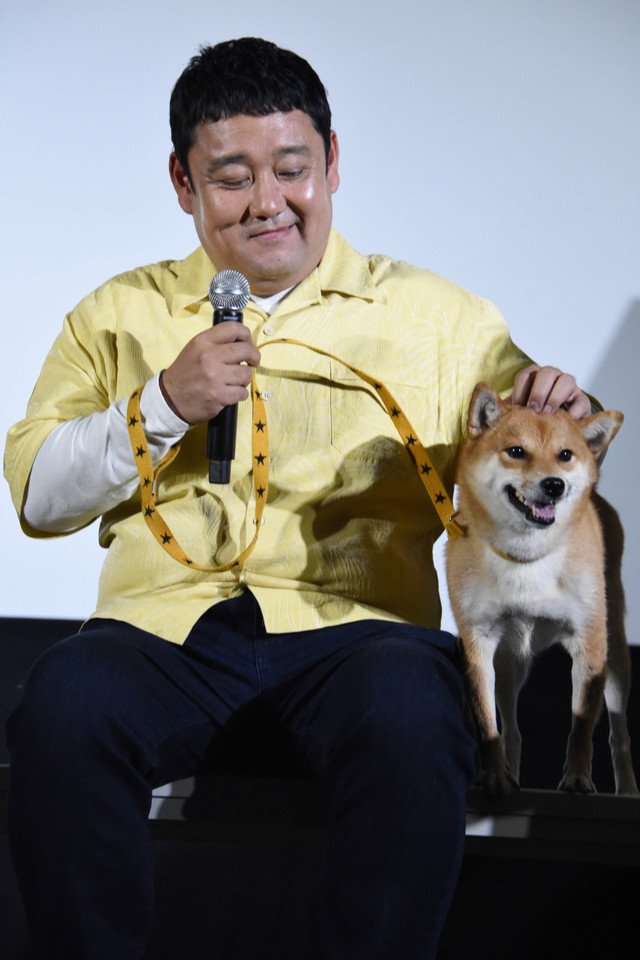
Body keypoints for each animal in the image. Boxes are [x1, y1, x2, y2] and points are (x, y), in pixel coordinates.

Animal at [446, 382, 638, 796]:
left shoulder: (589, 642)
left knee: (619, 734)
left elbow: (581, 725)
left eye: (565, 455)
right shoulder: (478, 642)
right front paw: (493, 775)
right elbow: (487, 724)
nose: (554, 484)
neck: (527, 558)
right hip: (510, 663)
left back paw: (628, 790)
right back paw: (511, 775)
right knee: (513, 730)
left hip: (615, 657)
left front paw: (578, 777)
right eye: (516, 451)